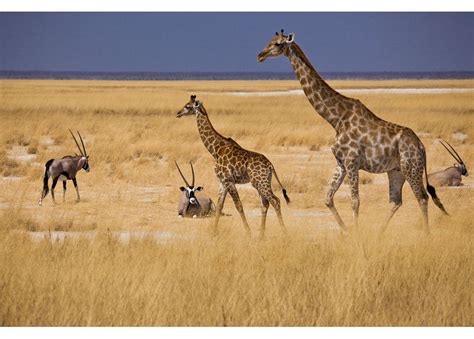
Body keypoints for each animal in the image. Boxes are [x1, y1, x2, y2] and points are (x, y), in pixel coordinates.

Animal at [177, 95, 290, 239]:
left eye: (187, 106)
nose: (178, 113)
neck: (215, 149)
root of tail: (271, 166)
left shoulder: (228, 180)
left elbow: (238, 205)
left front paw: (248, 232)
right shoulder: (222, 182)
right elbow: (220, 206)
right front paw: (214, 231)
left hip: (260, 182)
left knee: (276, 201)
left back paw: (284, 233)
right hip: (261, 183)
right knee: (265, 204)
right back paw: (261, 235)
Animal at [258, 29, 446, 234]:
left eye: (278, 44)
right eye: (269, 41)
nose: (260, 55)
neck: (336, 119)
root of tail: (421, 146)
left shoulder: (352, 162)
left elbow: (355, 201)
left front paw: (355, 234)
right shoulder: (341, 163)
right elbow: (328, 198)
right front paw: (347, 232)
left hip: (411, 168)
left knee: (422, 198)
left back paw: (426, 234)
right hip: (396, 171)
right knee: (396, 201)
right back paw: (379, 235)